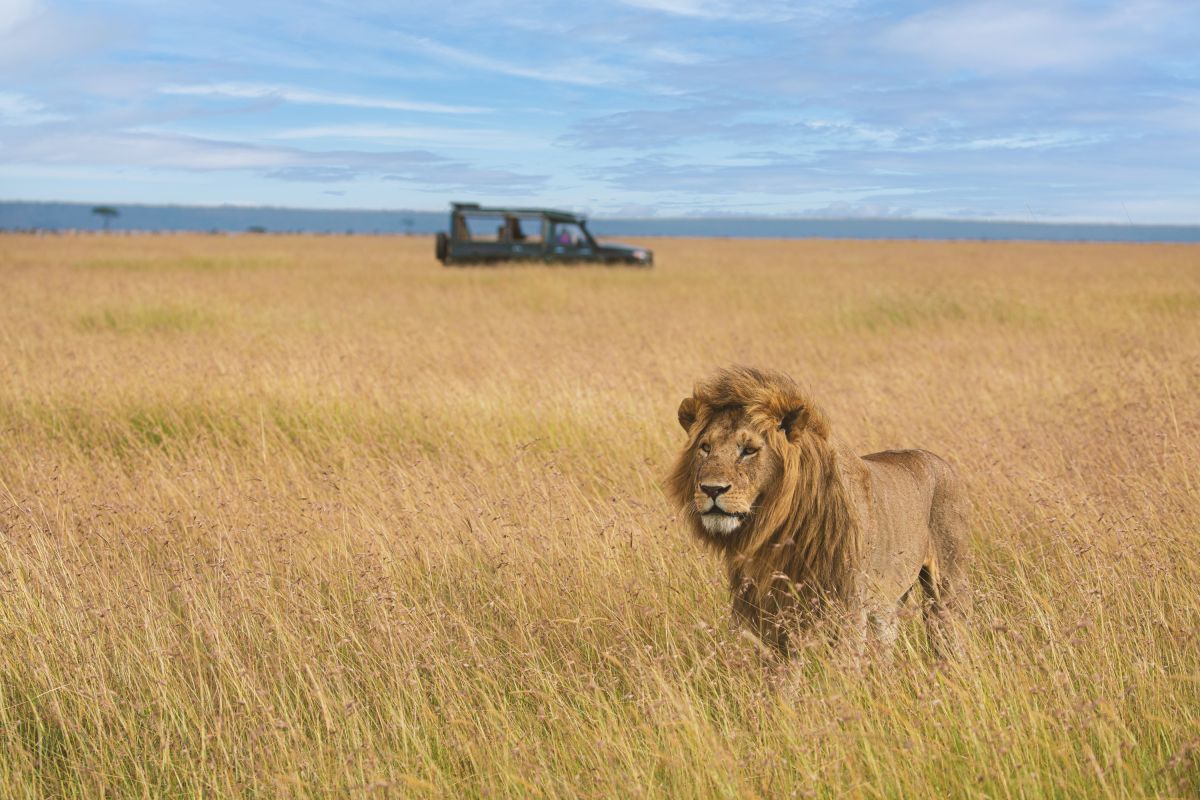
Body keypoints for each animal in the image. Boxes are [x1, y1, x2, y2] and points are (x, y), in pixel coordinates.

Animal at [668, 366, 969, 659]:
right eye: (705, 447)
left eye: (749, 450)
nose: (711, 489)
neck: (777, 529)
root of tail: (943, 463)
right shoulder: (771, 611)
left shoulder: (848, 608)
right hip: (889, 600)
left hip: (945, 591)